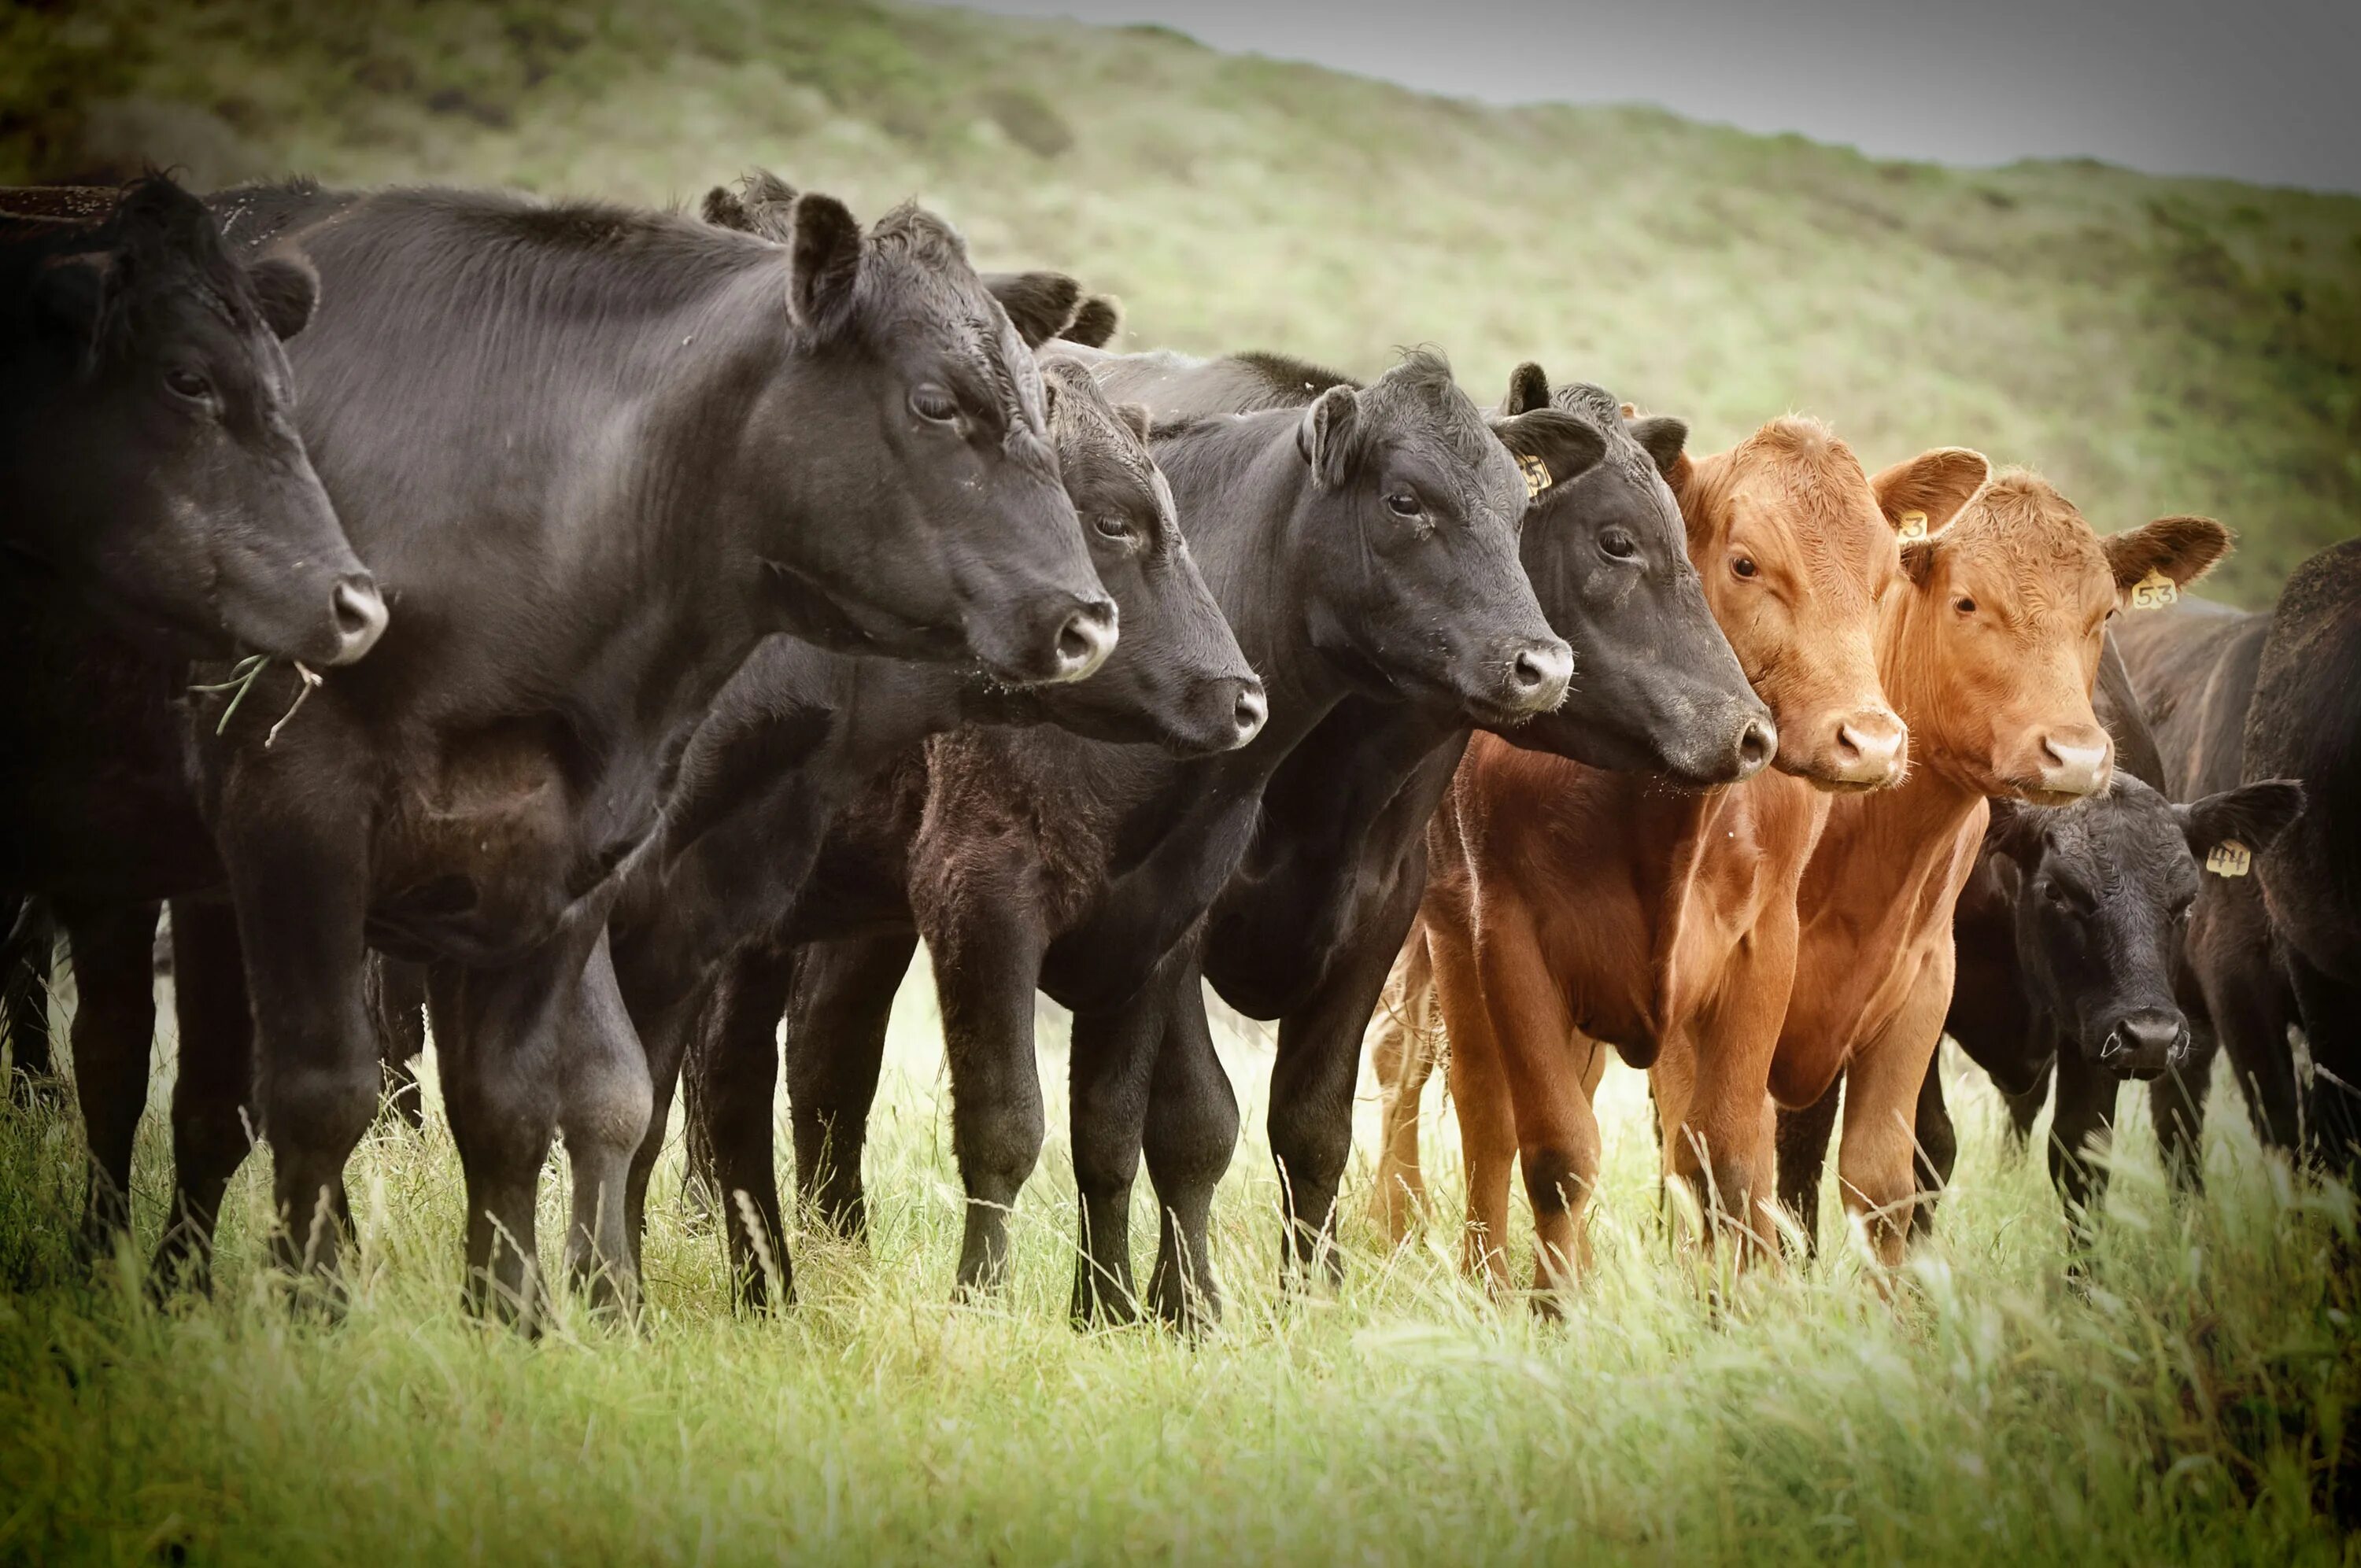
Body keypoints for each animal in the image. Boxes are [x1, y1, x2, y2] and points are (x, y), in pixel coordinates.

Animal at [1407, 422, 2002, 1293]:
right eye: (1747, 563)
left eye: (1885, 572)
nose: (1870, 741)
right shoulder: (1507, 939)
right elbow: (1554, 1153)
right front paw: (1556, 1308)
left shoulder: (1762, 946)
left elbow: (1728, 1154)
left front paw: (1745, 1306)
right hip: (1454, 939)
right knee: (1489, 1121)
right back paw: (1490, 1280)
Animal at [1700, 474, 2229, 1265]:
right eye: (1967, 602)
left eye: (2104, 611)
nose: (2075, 755)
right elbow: (1916, 1150)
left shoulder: (2093, 1014)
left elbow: (2081, 1155)